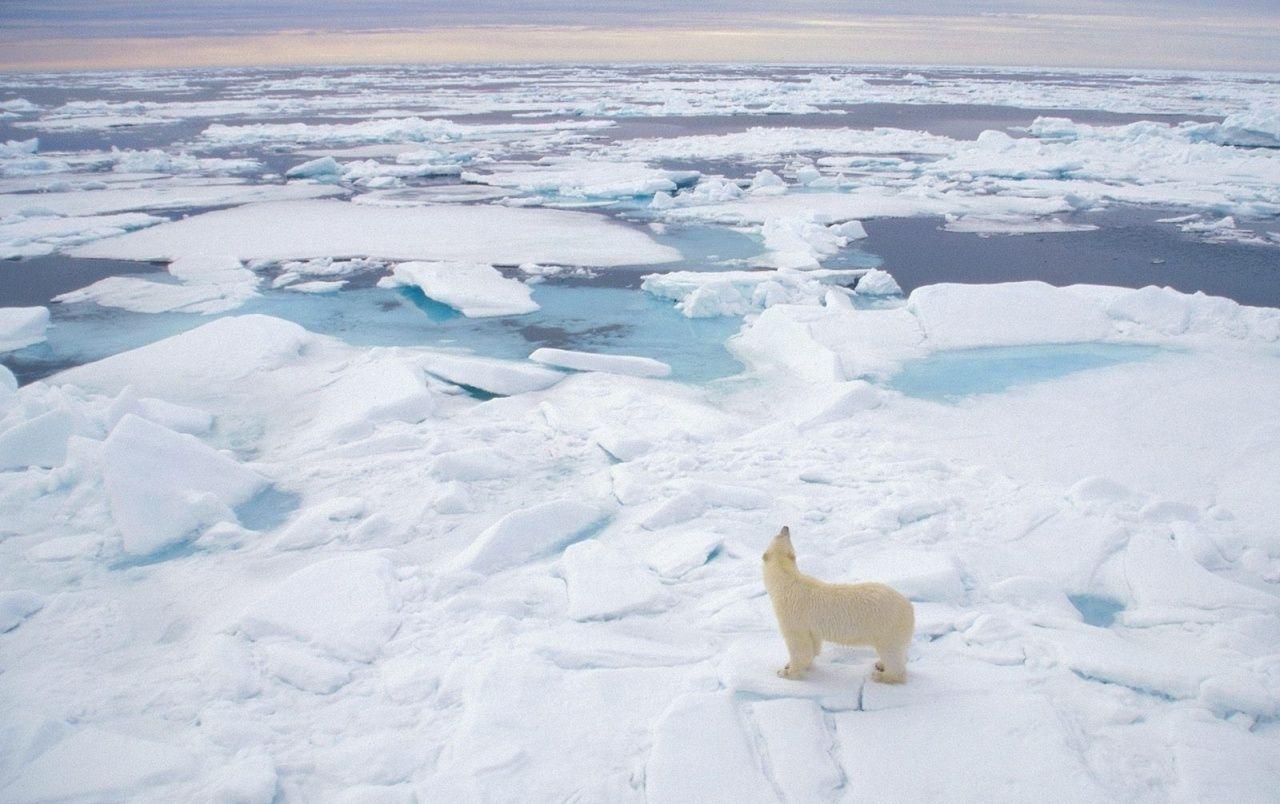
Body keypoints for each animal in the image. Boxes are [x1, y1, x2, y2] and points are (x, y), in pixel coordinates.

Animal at [762, 525, 915, 683]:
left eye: (780, 535)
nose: (785, 527)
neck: (786, 581)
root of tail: (909, 608)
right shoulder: (811, 627)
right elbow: (813, 645)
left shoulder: (792, 615)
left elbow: (799, 646)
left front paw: (786, 672)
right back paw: (880, 664)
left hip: (888, 627)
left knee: (891, 653)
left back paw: (881, 675)